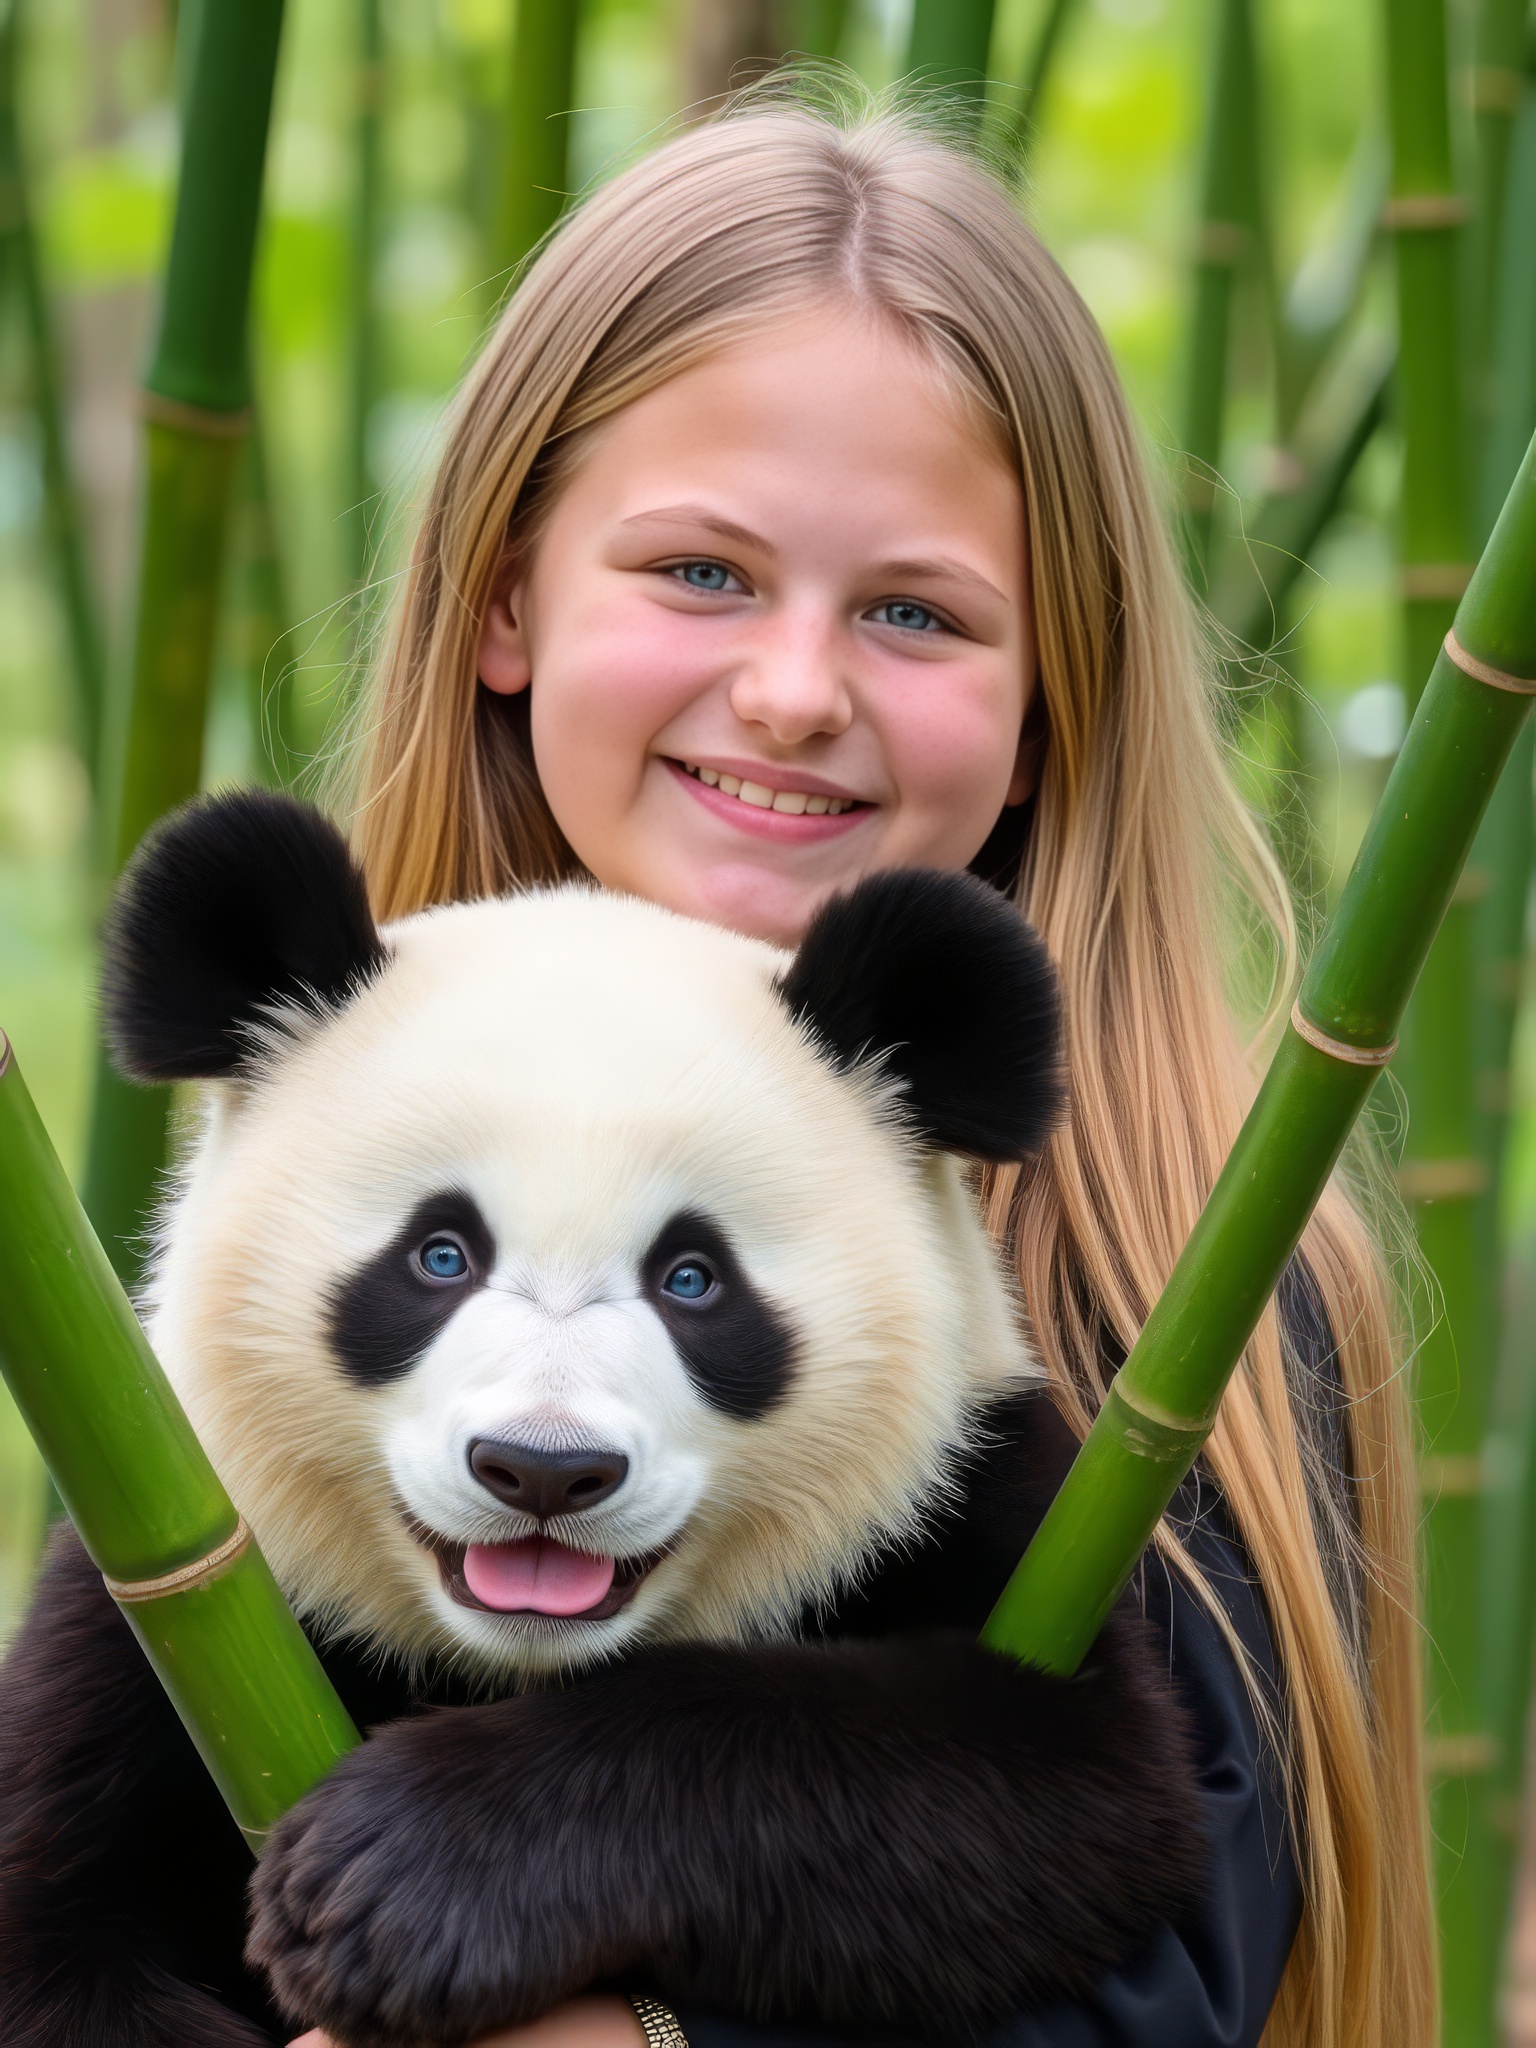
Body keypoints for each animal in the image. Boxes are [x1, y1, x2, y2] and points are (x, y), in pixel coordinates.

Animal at [0, 792, 1203, 2048]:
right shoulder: (168, 1603)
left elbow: (1043, 1787)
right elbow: (53, 1930)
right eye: (439, 1255)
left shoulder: (984, 1508)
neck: (511, 1662)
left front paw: (403, 1877)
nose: (543, 1469)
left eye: (693, 1278)